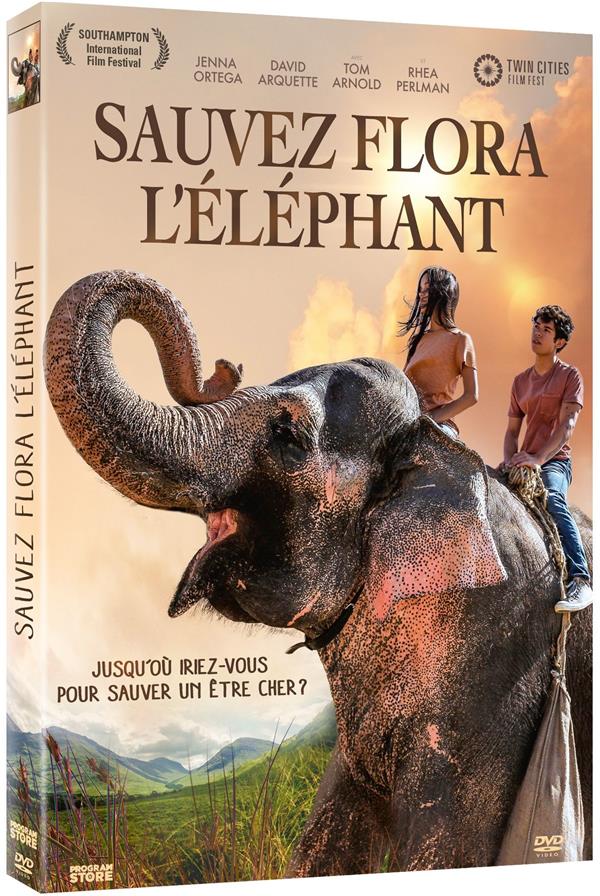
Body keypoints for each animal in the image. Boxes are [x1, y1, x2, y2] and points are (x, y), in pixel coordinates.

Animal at [44, 270, 592, 874]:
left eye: (288, 435)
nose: (225, 367)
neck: (430, 446)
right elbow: (326, 835)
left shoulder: (498, 677)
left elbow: (454, 845)